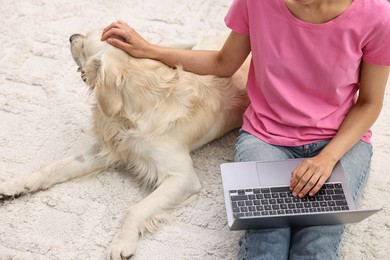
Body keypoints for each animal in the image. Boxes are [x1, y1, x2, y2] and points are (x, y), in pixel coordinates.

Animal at [0, 30, 250, 258]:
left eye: (84, 46)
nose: (72, 36)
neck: (132, 110)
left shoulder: (183, 177)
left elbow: (135, 209)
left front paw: (122, 243)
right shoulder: (109, 147)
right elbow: (53, 168)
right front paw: (17, 185)